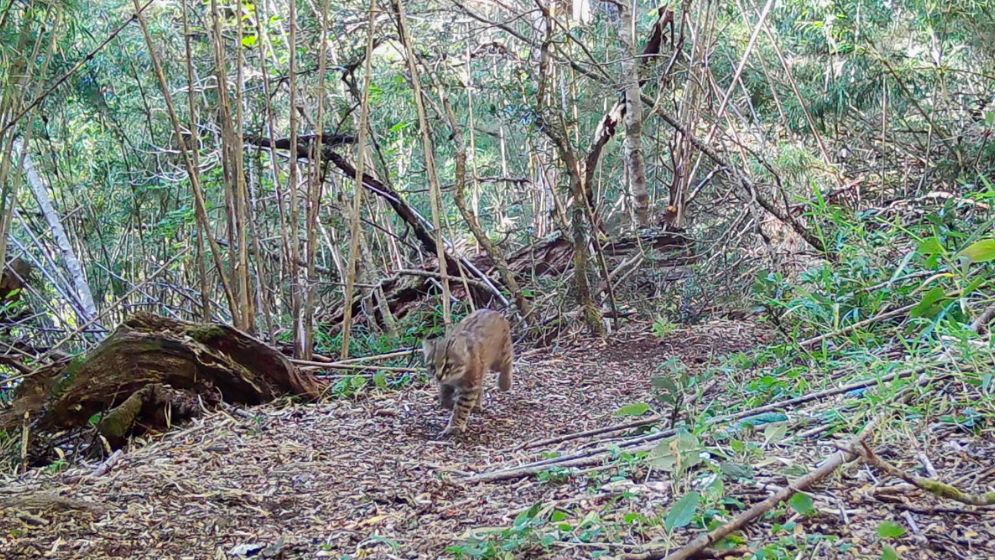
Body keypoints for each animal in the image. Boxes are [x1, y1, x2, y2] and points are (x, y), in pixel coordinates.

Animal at [420, 310, 512, 438]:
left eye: (448, 365)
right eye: (432, 366)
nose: (438, 376)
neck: (456, 377)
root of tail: (493, 311)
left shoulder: (469, 387)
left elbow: (461, 408)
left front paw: (454, 427)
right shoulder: (447, 383)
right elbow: (444, 399)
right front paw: (450, 404)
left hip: (499, 359)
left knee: (508, 360)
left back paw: (505, 383)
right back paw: (477, 405)